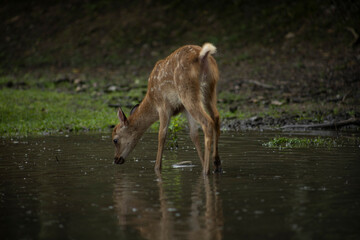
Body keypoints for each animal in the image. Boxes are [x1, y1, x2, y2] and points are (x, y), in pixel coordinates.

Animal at [111, 43, 221, 174]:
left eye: (115, 140)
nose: (116, 159)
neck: (152, 100)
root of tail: (202, 56)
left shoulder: (163, 106)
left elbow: (161, 135)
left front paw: (157, 168)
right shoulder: (183, 109)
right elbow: (193, 134)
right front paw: (203, 162)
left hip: (187, 91)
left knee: (207, 122)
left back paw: (206, 170)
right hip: (210, 88)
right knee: (216, 117)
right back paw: (216, 163)